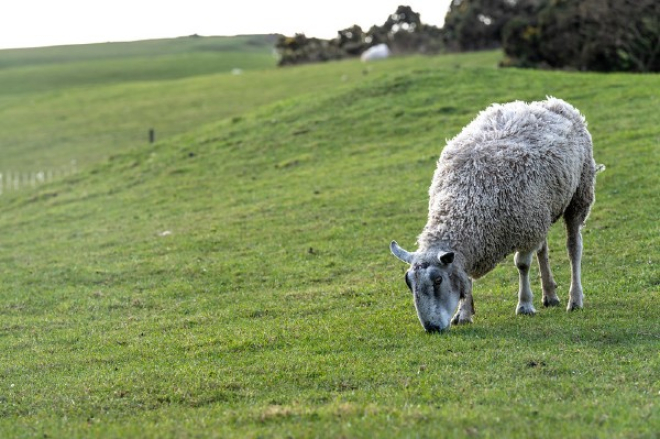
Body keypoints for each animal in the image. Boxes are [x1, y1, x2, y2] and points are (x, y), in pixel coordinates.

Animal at [392, 97, 604, 334]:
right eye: (409, 282)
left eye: (438, 280)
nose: (432, 327)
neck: (465, 200)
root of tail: (548, 102)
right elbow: (467, 278)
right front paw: (464, 314)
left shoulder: (525, 226)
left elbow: (522, 265)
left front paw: (524, 305)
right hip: (543, 211)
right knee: (543, 248)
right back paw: (550, 295)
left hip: (579, 194)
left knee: (573, 247)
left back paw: (575, 299)